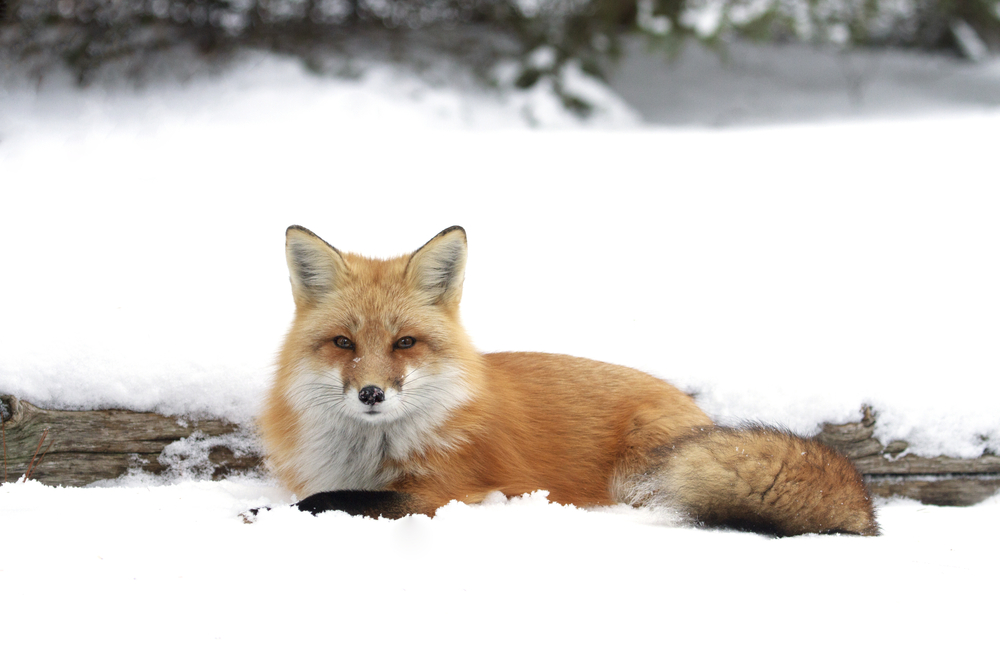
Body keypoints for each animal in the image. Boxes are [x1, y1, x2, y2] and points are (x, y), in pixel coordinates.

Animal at [258, 225, 879, 537]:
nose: (371, 393)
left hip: (645, 477)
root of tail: (701, 417)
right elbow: (328, 494)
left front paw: (271, 517)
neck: (371, 450)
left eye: (404, 343)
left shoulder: (449, 492)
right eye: (344, 343)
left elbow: (340, 500)